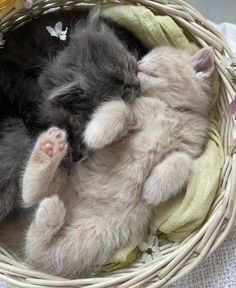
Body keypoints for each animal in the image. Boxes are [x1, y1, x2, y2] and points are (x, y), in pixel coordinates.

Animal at [21, 46, 215, 278]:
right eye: (146, 56)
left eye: (158, 56)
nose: (138, 63)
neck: (169, 109)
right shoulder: (133, 111)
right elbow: (119, 109)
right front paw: (94, 135)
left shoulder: (189, 147)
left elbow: (181, 162)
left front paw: (153, 190)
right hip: (68, 182)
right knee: (32, 210)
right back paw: (48, 153)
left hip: (88, 239)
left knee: (39, 238)